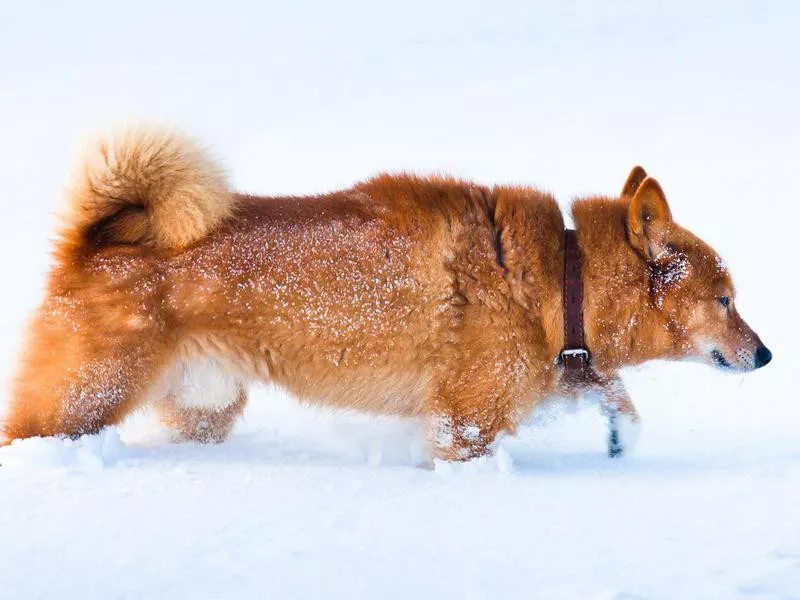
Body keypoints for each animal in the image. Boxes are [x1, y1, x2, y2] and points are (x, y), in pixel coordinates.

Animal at [3, 126, 772, 460]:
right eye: (726, 300)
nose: (766, 355)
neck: (561, 281)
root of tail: (94, 242)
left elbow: (614, 397)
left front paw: (622, 441)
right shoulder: (466, 425)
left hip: (203, 408)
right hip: (81, 402)